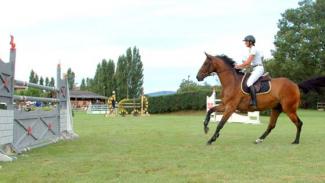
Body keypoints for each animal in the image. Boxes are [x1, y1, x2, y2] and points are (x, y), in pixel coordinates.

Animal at [195, 52, 324, 144]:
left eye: (205, 63)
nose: (198, 77)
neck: (232, 82)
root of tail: (295, 85)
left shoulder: (231, 107)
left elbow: (221, 123)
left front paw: (212, 139)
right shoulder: (225, 105)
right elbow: (210, 111)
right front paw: (206, 128)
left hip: (289, 109)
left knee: (299, 123)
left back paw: (296, 141)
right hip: (276, 109)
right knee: (271, 126)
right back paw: (259, 139)